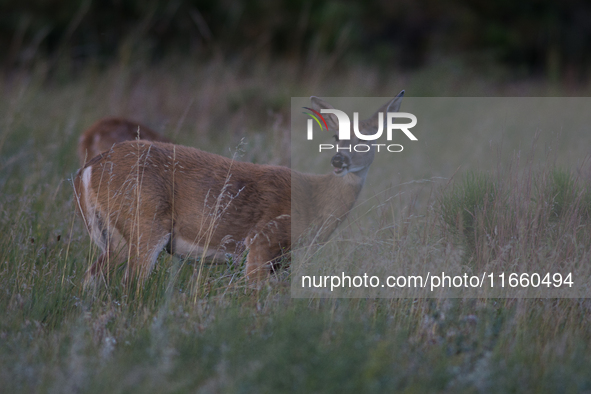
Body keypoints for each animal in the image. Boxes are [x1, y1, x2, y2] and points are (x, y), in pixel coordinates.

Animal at [73, 92, 408, 284]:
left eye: (370, 138)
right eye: (337, 136)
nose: (339, 160)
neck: (312, 200)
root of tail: (89, 168)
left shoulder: (282, 261)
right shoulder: (262, 242)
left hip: (115, 235)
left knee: (91, 278)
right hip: (145, 221)